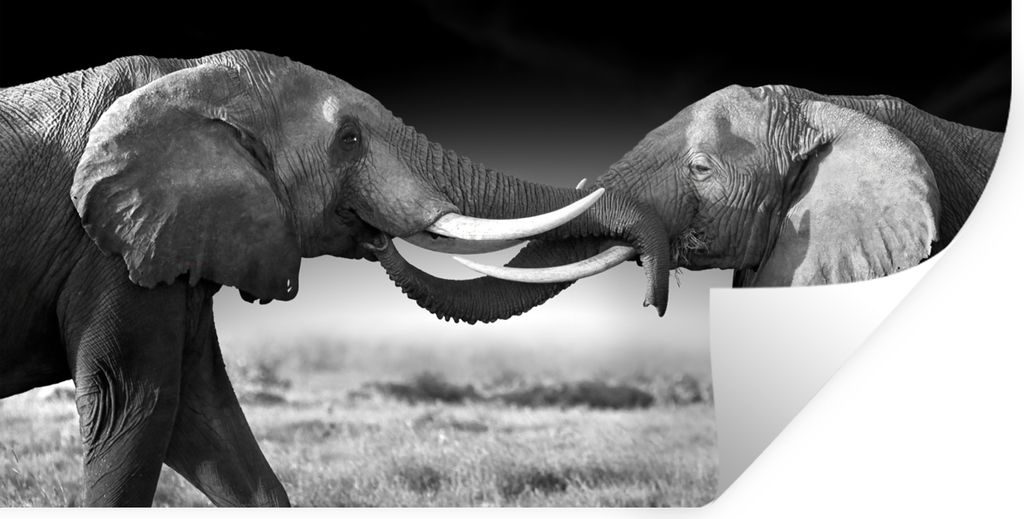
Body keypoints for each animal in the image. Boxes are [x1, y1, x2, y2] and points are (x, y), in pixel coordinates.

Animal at [0, 50, 671, 506]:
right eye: (349, 139)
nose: (654, 302)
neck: (185, 75)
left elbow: (204, 415)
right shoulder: (105, 249)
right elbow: (133, 404)